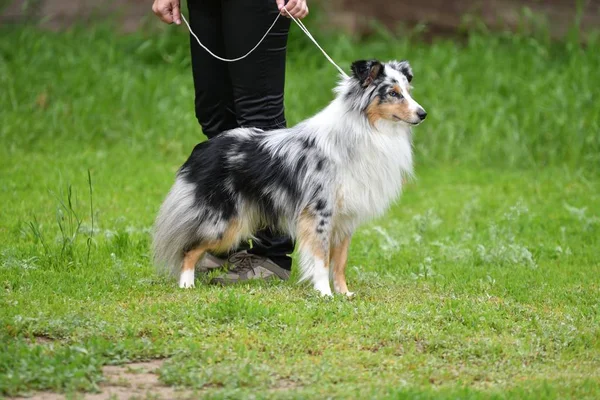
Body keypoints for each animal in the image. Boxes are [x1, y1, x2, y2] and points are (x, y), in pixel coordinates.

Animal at [152, 59, 428, 296]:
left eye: (407, 90)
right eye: (393, 93)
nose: (422, 114)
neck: (365, 129)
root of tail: (204, 148)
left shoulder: (345, 219)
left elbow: (339, 262)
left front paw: (344, 293)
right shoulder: (319, 214)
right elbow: (321, 259)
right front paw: (324, 293)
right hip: (224, 222)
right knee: (188, 248)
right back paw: (186, 284)